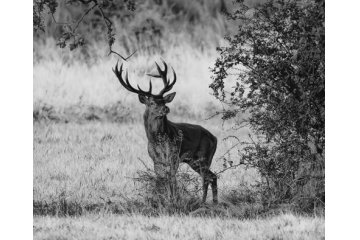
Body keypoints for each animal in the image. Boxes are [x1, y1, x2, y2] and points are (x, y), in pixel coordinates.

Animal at [114, 61, 218, 203]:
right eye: (152, 102)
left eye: (163, 100)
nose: (165, 109)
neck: (157, 140)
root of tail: (215, 138)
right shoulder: (155, 160)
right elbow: (161, 179)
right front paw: (162, 199)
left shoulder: (174, 156)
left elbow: (171, 179)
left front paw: (173, 200)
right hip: (194, 160)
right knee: (212, 176)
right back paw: (212, 202)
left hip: (203, 157)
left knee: (208, 177)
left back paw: (203, 201)